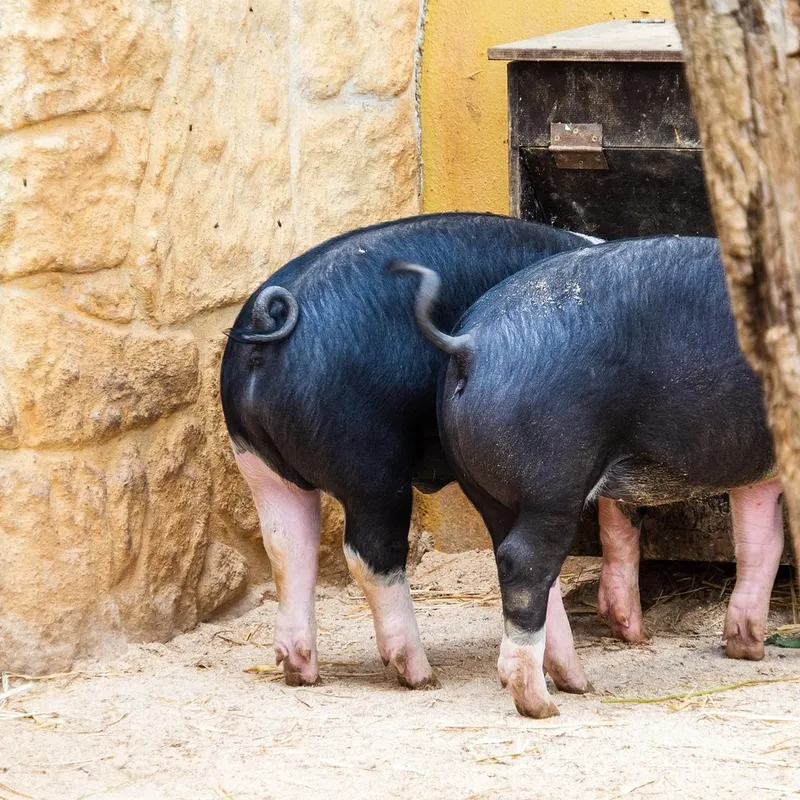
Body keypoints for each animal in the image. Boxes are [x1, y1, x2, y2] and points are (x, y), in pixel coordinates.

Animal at [220, 212, 602, 690]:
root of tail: (265, 321)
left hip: (258, 465)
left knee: (287, 547)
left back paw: (299, 671)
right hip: (370, 468)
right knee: (371, 554)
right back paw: (421, 674)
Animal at [394, 235, 784, 718]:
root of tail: (471, 343)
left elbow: (760, 541)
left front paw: (745, 650)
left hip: (486, 487)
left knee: (519, 561)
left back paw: (579, 684)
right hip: (552, 478)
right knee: (524, 563)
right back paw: (542, 705)